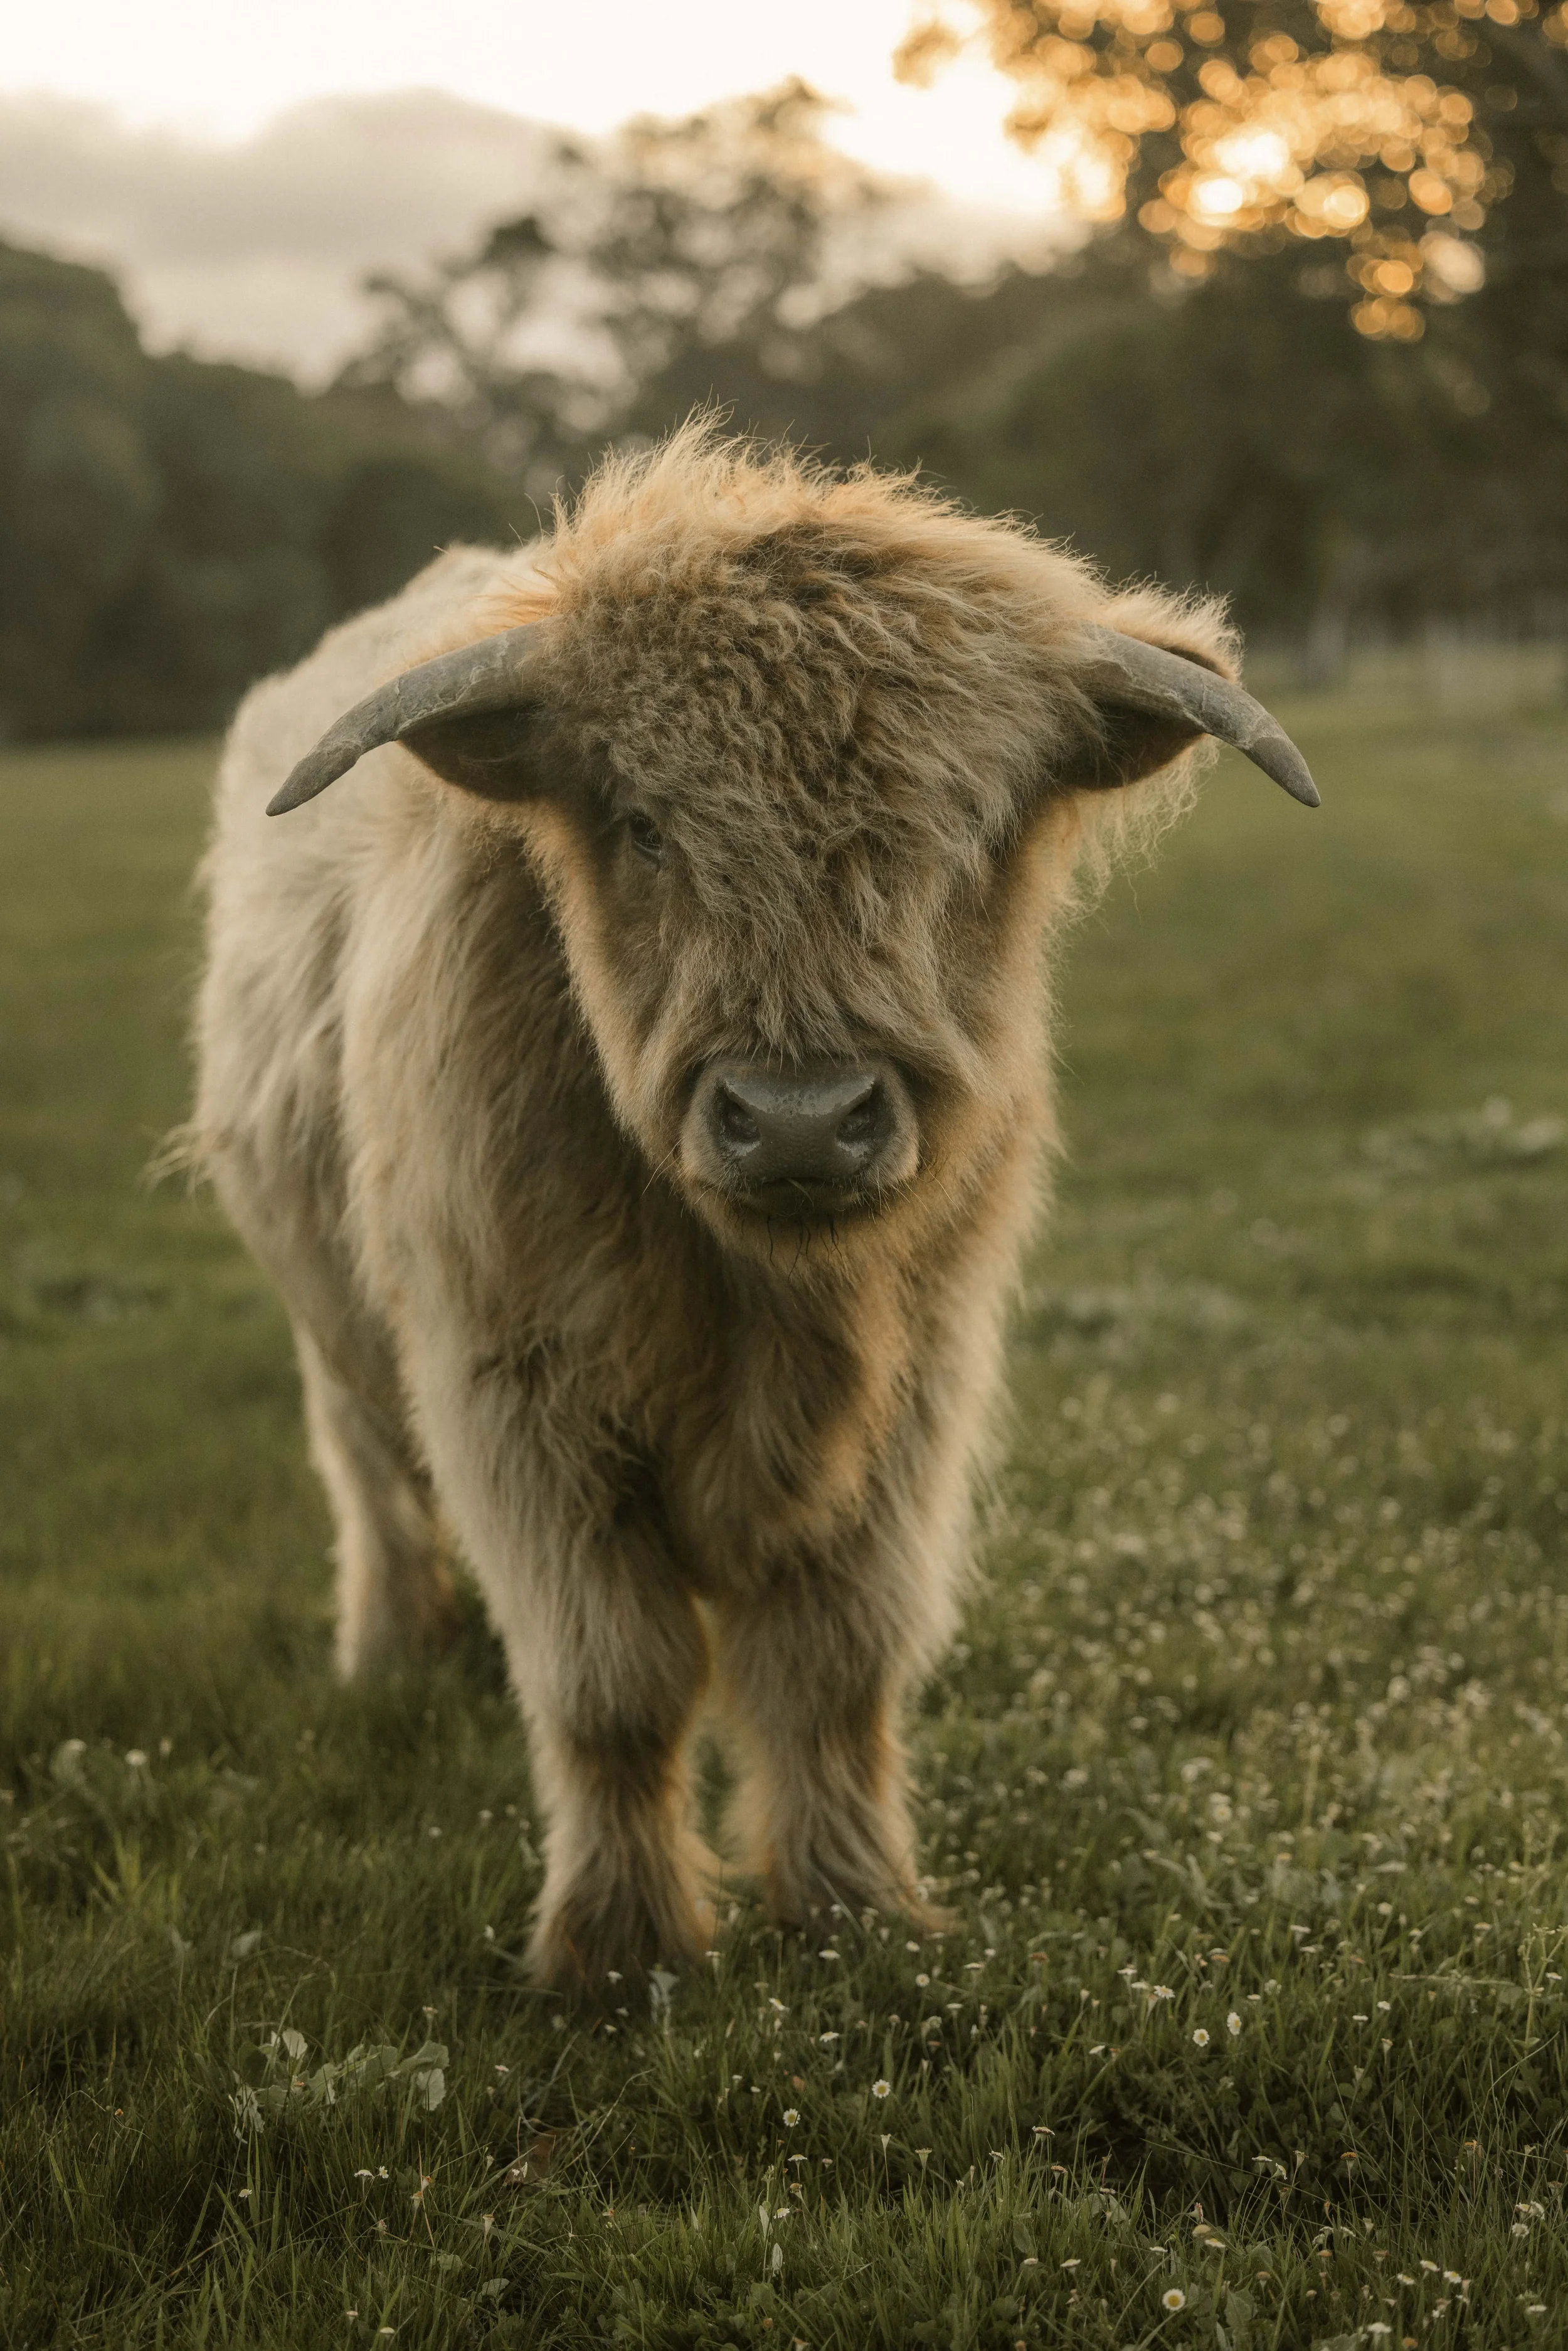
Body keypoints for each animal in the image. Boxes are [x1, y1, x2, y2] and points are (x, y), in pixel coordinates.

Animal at [188, 426, 1316, 1990]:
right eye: (645, 825)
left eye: (969, 829)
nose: (796, 1118)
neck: (759, 1308)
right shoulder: (510, 1389)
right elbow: (612, 1680)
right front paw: (614, 1945)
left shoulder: (913, 1397)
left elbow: (836, 1663)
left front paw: (853, 1904)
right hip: (337, 1332)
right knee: (370, 1481)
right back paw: (388, 1655)